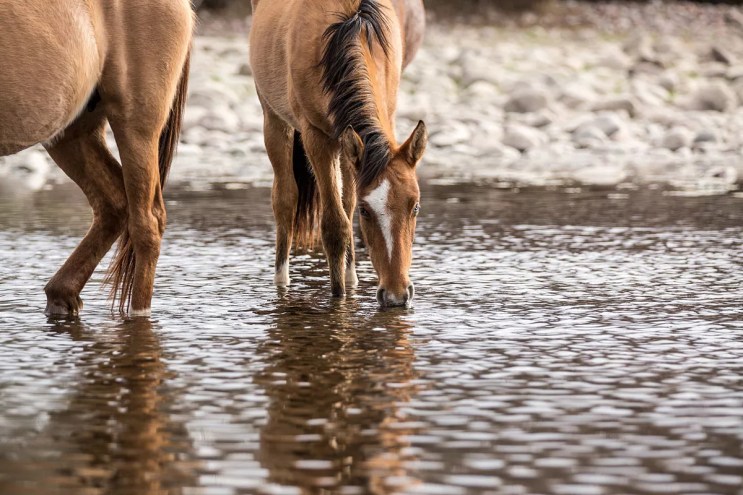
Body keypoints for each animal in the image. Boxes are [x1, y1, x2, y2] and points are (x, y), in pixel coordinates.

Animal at [0, 0, 194, 316]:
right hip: (73, 134)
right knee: (113, 204)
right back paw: (61, 295)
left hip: (135, 126)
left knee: (146, 223)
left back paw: (138, 315)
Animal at [250, 0, 428, 308]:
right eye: (367, 212)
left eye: (415, 206)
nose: (396, 295)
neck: (351, 31)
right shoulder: (317, 138)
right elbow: (335, 225)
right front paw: (339, 300)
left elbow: (347, 206)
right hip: (274, 118)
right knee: (285, 199)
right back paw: (281, 281)